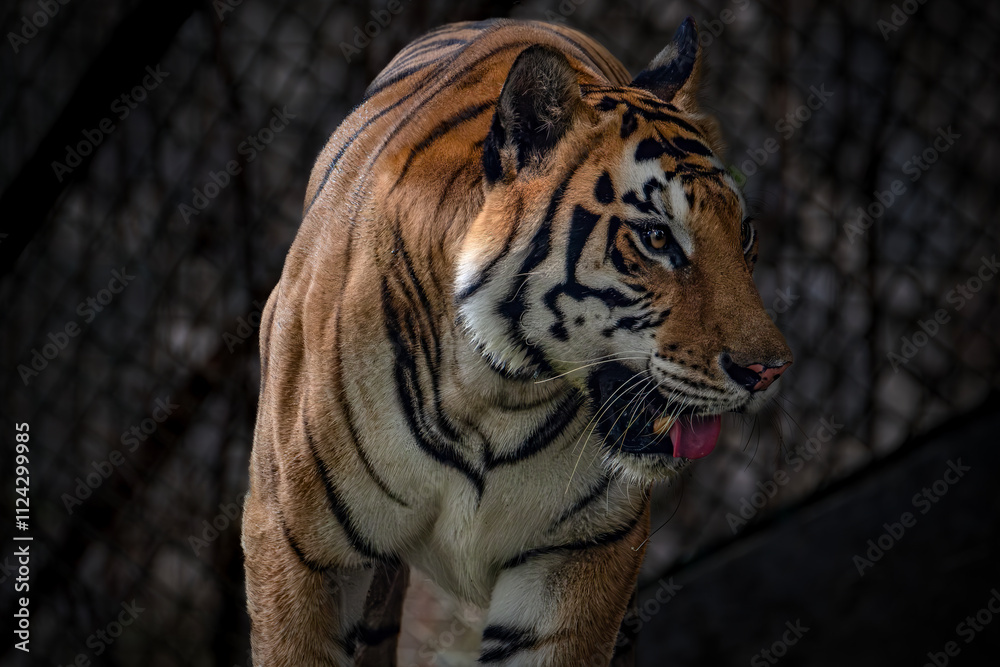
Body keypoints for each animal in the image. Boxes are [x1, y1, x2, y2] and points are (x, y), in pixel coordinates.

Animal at [242, 15, 792, 667]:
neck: (490, 396)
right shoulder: (296, 546)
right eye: (657, 238)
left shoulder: (579, 555)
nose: (769, 371)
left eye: (745, 233)